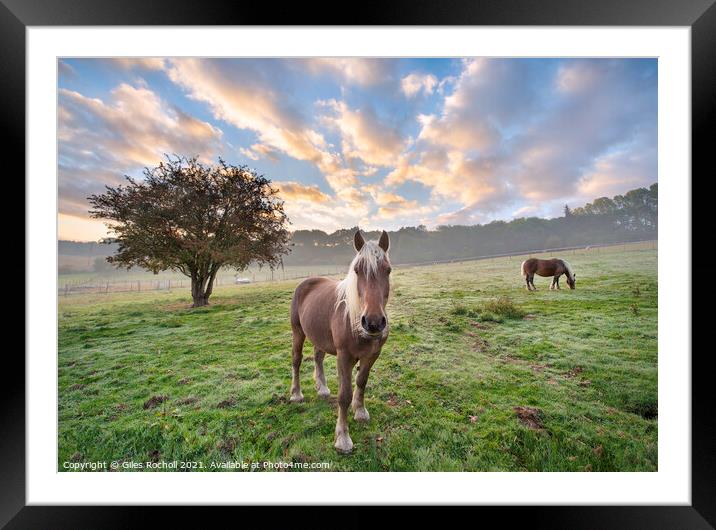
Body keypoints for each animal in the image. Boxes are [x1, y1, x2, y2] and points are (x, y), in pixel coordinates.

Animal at [290, 229, 392, 452]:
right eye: (357, 270)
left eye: (387, 270)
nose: (373, 323)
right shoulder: (343, 357)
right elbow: (344, 395)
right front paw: (343, 438)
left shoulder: (373, 355)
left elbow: (361, 381)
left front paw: (360, 411)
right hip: (298, 332)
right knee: (296, 360)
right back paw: (296, 394)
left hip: (319, 336)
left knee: (318, 357)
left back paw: (322, 388)